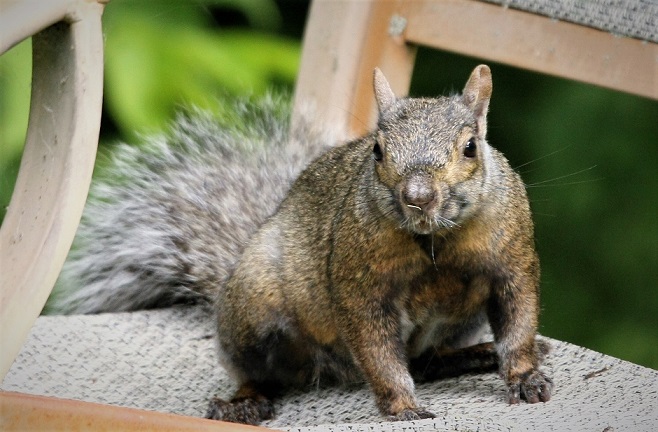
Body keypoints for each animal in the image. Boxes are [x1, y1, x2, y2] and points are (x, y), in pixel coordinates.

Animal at [52, 65, 553, 425]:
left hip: (463, 316)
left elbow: (518, 322)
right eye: (377, 150)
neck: (435, 242)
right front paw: (402, 406)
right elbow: (377, 351)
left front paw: (525, 376)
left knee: (427, 360)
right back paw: (243, 402)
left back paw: (477, 354)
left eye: (471, 147)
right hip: (254, 307)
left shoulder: (512, 262)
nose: (416, 196)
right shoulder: (359, 285)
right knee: (258, 372)